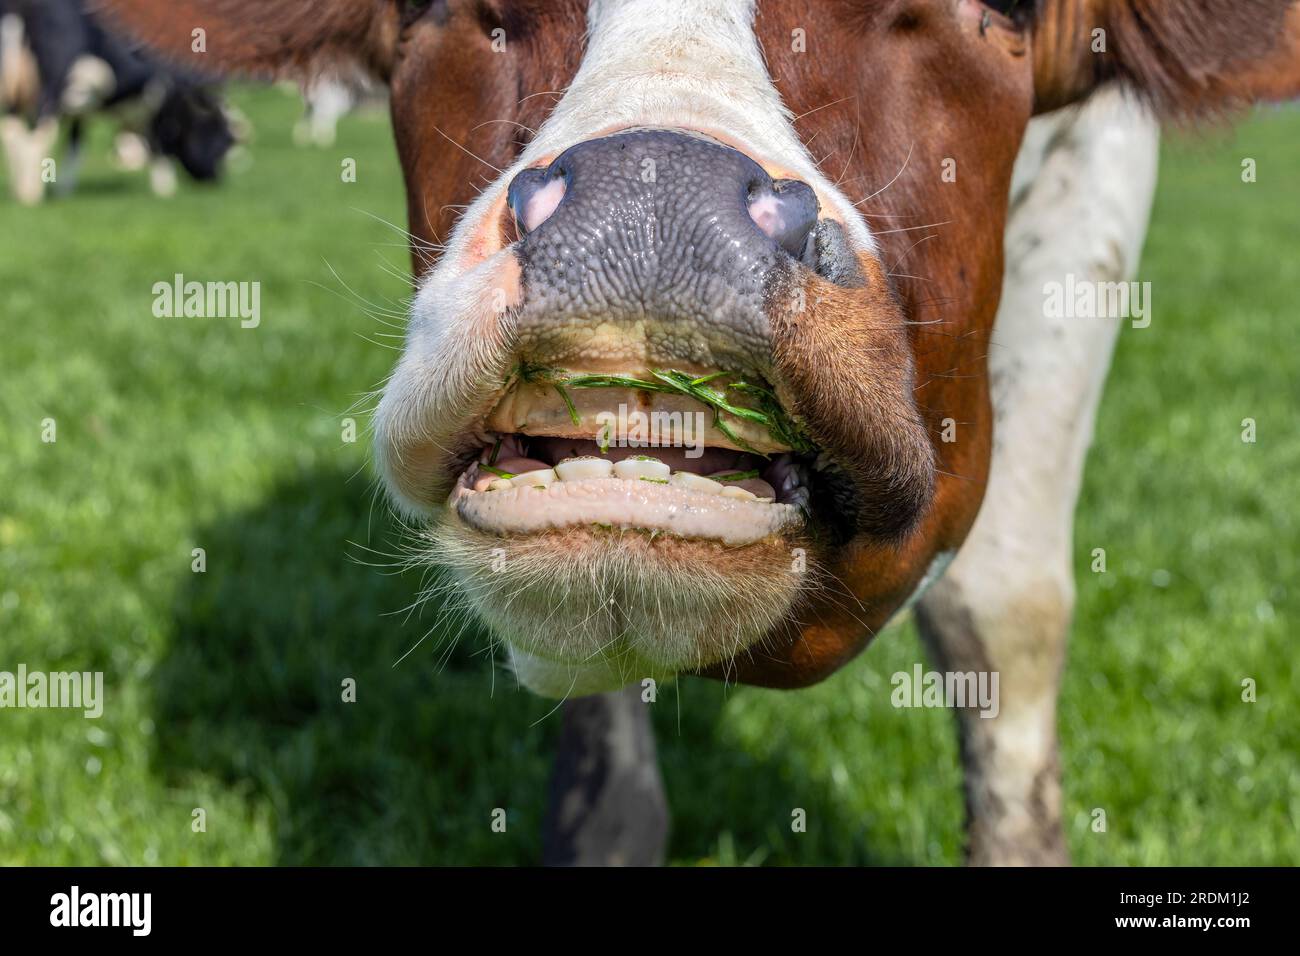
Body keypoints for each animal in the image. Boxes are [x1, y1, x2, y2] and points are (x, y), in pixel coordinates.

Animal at [0, 0, 235, 204]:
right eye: (225, 139)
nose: (215, 179)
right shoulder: (161, 94)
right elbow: (156, 141)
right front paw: (165, 188)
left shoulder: (83, 108)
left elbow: (75, 144)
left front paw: (63, 190)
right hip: (51, 83)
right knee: (36, 134)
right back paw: (31, 195)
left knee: (11, 130)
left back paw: (19, 192)